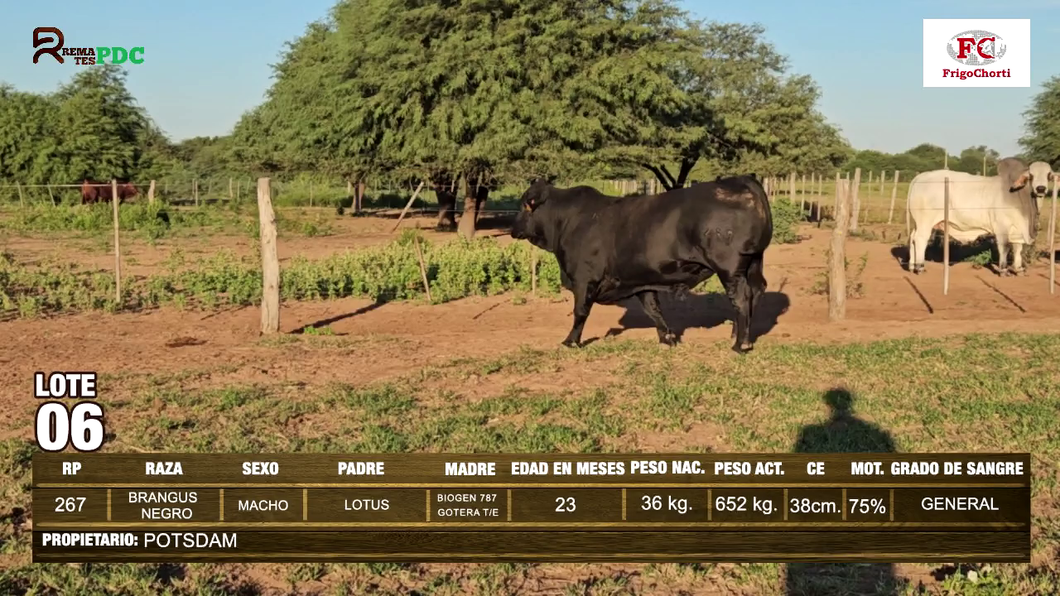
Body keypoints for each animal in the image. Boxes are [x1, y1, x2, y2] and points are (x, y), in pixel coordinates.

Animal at [510, 176, 771, 352]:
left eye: (524, 205)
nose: (512, 228)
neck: (567, 220)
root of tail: (740, 180)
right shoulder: (640, 279)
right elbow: (653, 310)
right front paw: (667, 338)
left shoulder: (584, 279)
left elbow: (580, 311)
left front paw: (570, 341)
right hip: (754, 262)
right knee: (756, 291)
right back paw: (739, 335)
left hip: (729, 267)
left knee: (741, 297)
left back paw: (741, 343)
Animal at [903, 158, 1043, 277]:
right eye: (1031, 176)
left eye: (1047, 176)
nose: (1041, 189)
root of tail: (920, 176)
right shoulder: (1001, 226)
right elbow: (1004, 247)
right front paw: (1003, 271)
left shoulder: (1018, 228)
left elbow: (1018, 247)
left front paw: (1019, 270)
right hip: (925, 221)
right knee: (920, 239)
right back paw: (920, 267)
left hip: (918, 222)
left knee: (912, 238)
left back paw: (911, 266)